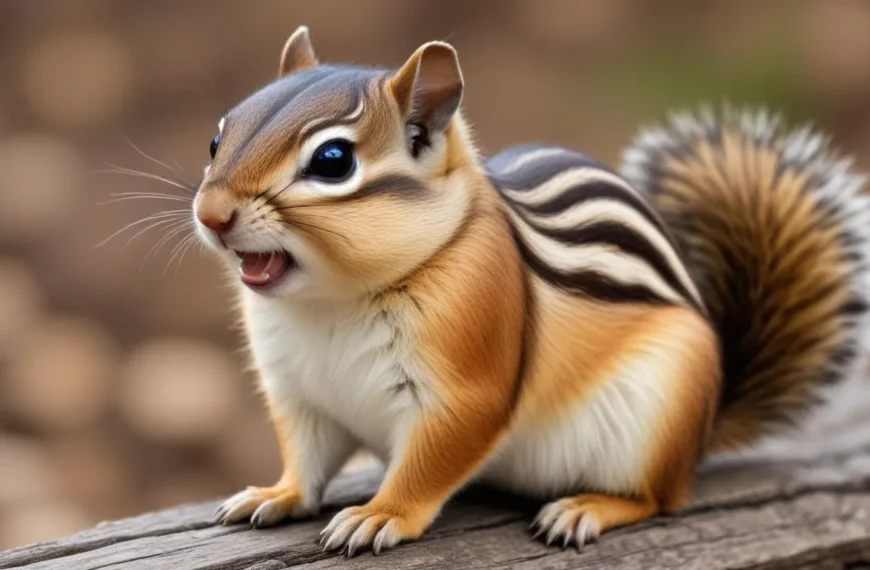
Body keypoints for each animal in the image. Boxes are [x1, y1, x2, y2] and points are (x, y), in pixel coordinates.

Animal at [193, 26, 870, 556]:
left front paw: (379, 514)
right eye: (216, 138)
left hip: (658, 416)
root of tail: (705, 428)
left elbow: (431, 463)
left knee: (662, 497)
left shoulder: (467, 387)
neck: (332, 302)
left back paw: (586, 508)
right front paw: (276, 494)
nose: (210, 214)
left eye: (333, 161)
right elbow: (305, 460)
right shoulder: (300, 394)